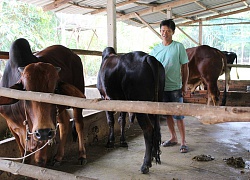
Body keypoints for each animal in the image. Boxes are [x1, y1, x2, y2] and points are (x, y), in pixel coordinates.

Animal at [0, 38, 86, 167]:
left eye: (56, 90)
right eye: (25, 90)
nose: (43, 131)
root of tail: (73, 54)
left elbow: (40, 160)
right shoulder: (12, 127)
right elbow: (24, 155)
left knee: (79, 124)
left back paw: (82, 155)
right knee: (64, 123)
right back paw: (58, 157)